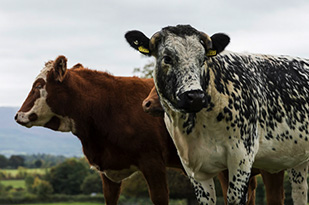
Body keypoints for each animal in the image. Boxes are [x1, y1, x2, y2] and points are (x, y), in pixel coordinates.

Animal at [125, 24, 308, 204]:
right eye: (167, 58)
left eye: (203, 59)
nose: (195, 96)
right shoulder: (193, 166)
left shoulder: (242, 157)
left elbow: (234, 198)